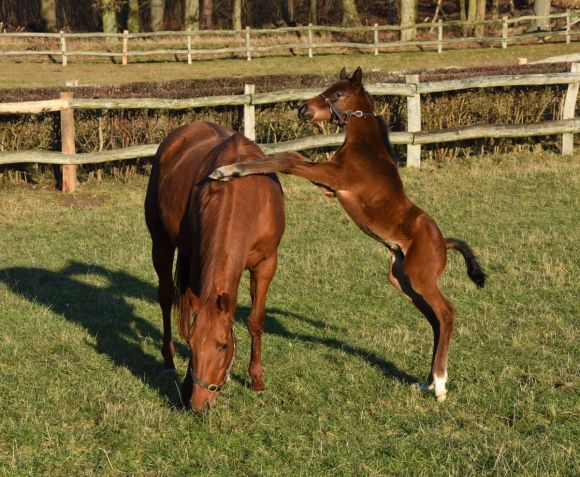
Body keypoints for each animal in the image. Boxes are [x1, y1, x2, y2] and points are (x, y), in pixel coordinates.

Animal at [211, 68, 488, 402]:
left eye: (339, 94)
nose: (302, 110)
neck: (364, 148)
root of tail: (443, 242)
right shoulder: (329, 186)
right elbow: (292, 156)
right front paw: (228, 168)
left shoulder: (334, 177)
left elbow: (288, 158)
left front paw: (227, 171)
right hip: (402, 279)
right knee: (434, 320)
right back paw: (428, 381)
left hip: (421, 276)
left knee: (446, 313)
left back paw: (441, 385)